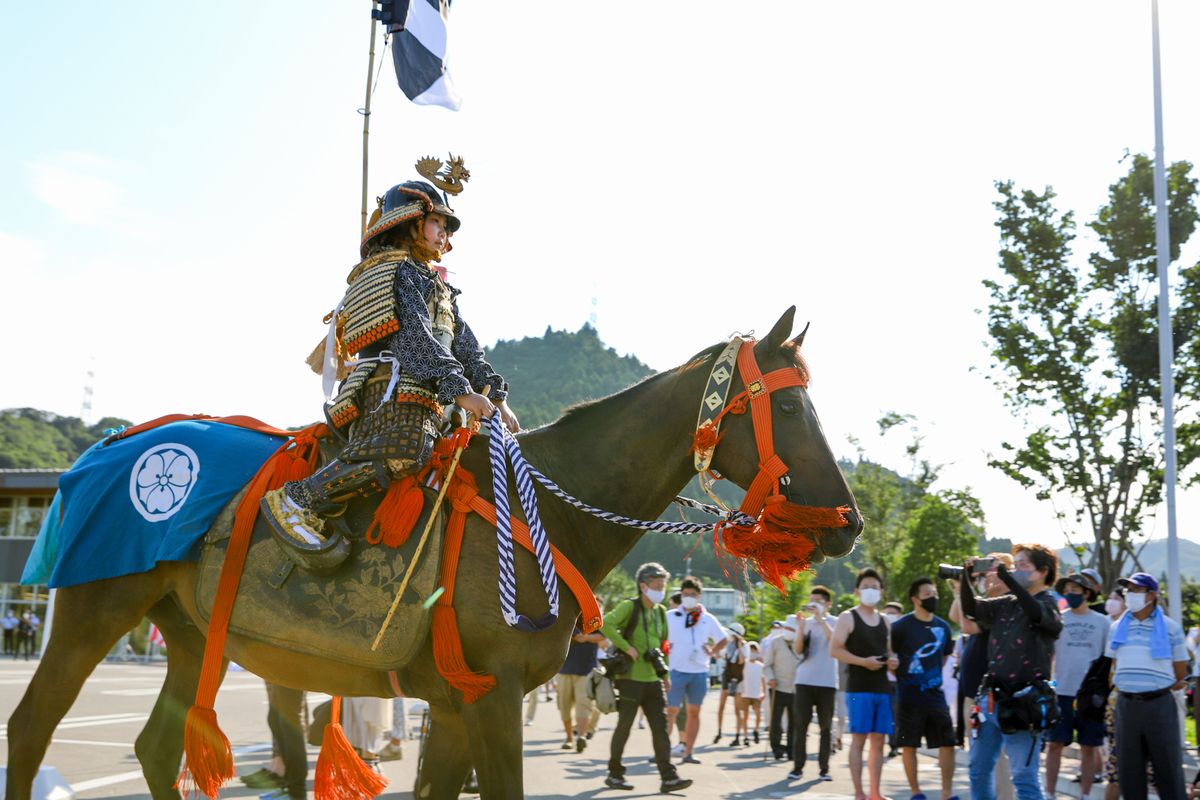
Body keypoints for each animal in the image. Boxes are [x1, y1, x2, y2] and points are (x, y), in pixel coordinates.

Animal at [2, 307, 864, 800]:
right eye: (791, 407)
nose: (849, 523)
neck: (548, 510)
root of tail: (109, 446)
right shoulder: (493, 696)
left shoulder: (456, 702)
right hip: (95, 606)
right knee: (32, 727)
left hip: (183, 627)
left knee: (157, 746)